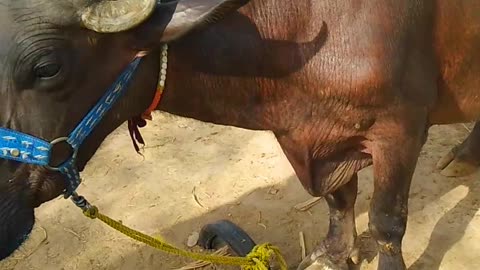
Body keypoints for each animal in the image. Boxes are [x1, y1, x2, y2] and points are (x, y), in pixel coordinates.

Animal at [0, 0, 480, 270]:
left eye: (47, 67)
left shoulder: (401, 130)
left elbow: (386, 223)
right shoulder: (318, 137)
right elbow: (338, 199)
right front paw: (330, 255)